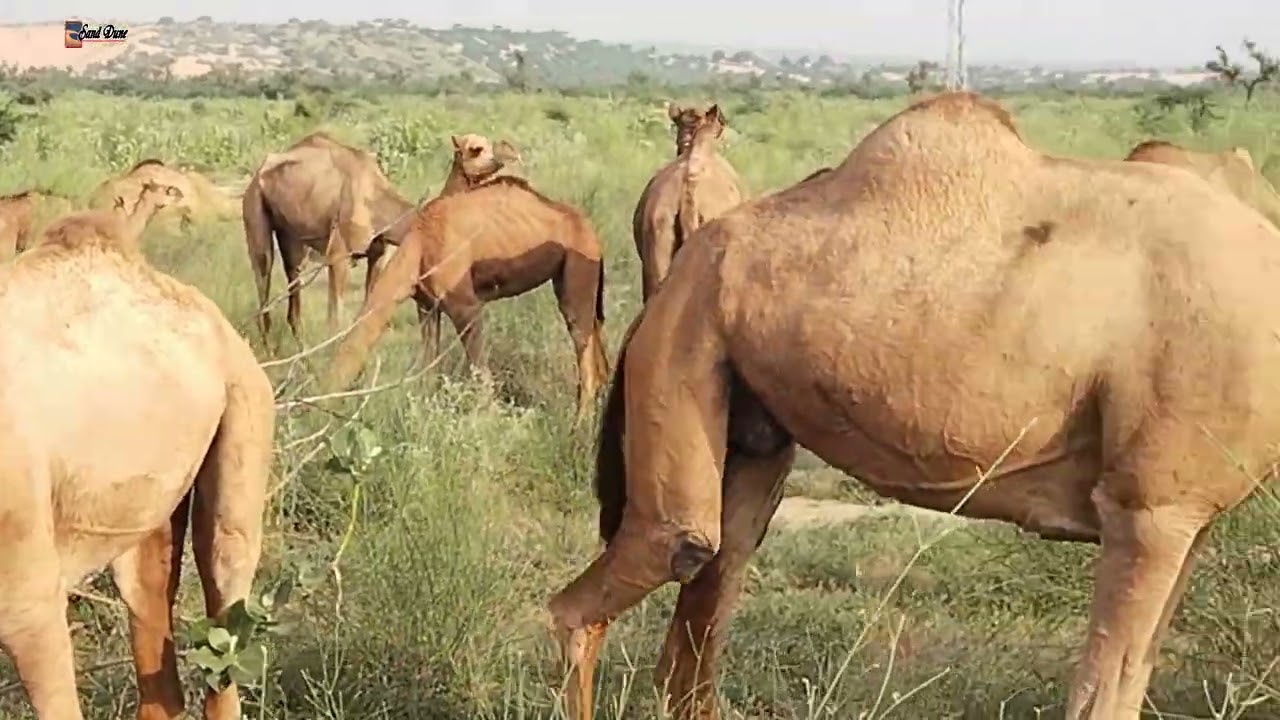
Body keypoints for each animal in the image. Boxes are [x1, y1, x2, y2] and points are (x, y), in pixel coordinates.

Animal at [243, 131, 519, 345]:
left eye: (490, 145)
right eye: (475, 149)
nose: (503, 159)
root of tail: (261, 169)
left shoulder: (378, 250)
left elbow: (368, 306)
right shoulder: (339, 252)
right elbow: (336, 314)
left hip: (290, 231)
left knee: (294, 274)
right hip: (254, 204)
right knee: (263, 268)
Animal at [325, 175, 611, 419]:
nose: (324, 412)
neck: (418, 246)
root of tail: (593, 234)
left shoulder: (465, 306)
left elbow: (478, 368)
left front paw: (488, 419)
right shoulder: (427, 307)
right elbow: (430, 364)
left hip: (578, 271)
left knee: (584, 353)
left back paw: (578, 427)